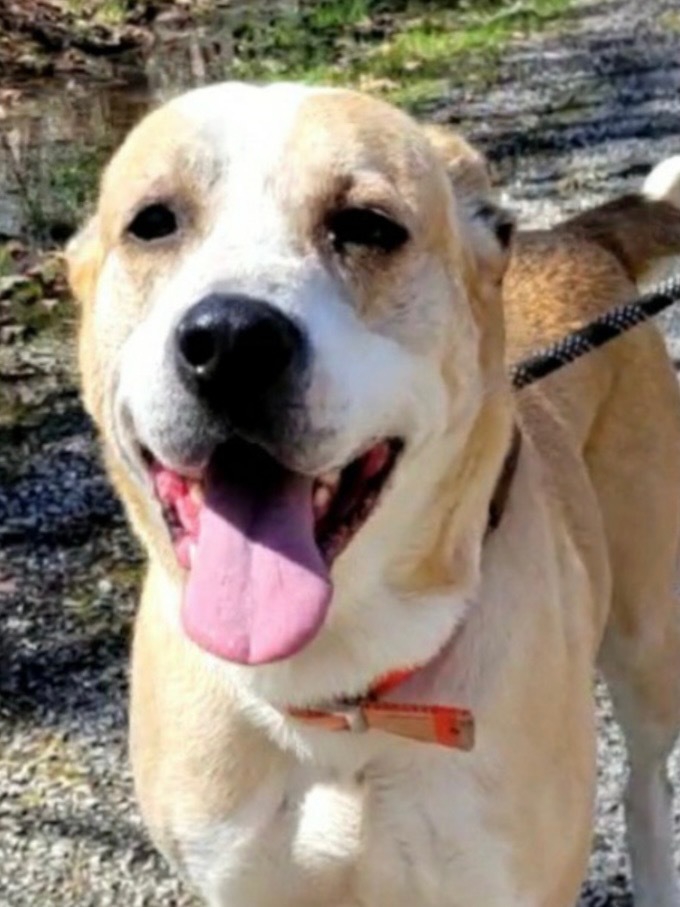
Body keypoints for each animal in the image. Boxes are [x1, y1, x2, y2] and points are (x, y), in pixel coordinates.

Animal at [66, 81, 680, 904]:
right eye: (152, 222)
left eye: (366, 226)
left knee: (646, 781)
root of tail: (579, 240)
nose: (230, 341)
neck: (341, 696)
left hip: (647, 641)